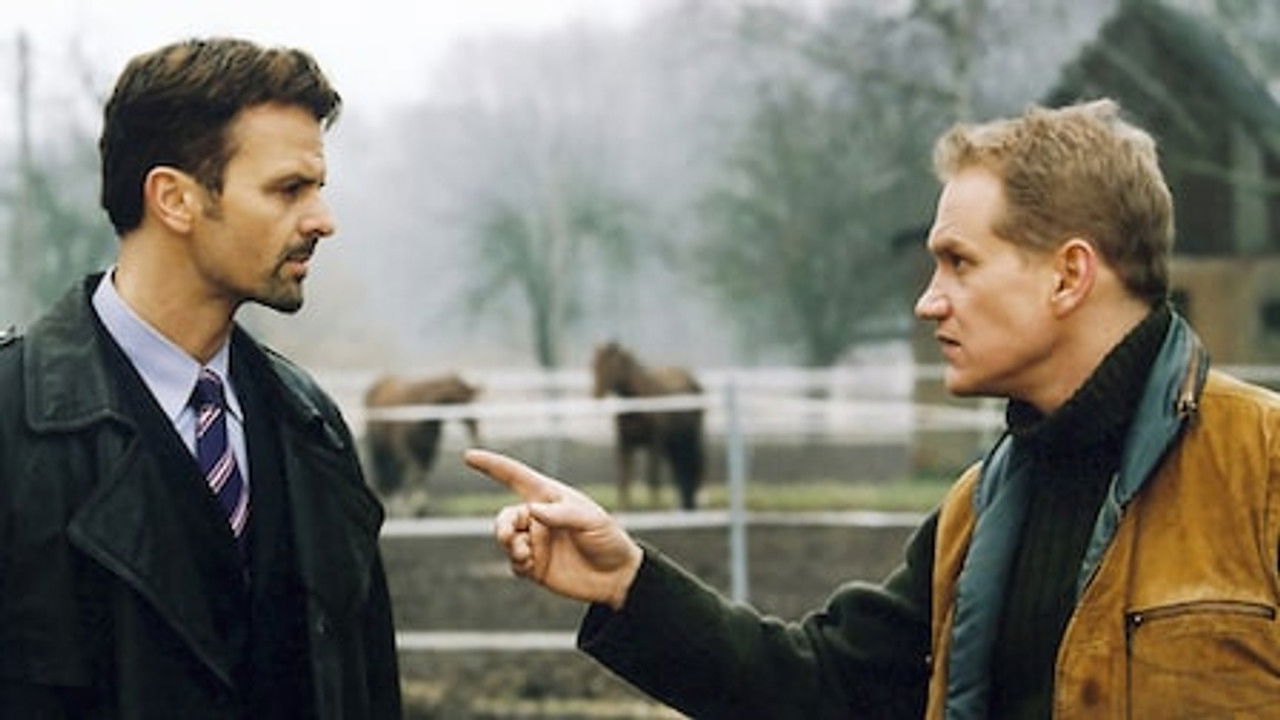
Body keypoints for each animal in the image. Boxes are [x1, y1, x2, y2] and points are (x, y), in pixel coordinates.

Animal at [363, 372, 481, 513]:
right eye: (462, 402)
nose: (476, 432)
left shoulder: (427, 450)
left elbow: (421, 473)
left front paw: (420, 505)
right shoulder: (405, 449)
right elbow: (412, 472)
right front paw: (409, 505)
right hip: (379, 445)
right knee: (386, 469)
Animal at [591, 341, 705, 511]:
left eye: (612, 366)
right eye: (593, 365)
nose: (596, 394)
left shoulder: (654, 444)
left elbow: (652, 479)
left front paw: (655, 508)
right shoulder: (625, 444)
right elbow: (624, 480)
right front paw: (626, 508)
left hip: (690, 440)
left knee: (692, 468)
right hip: (673, 446)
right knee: (681, 473)